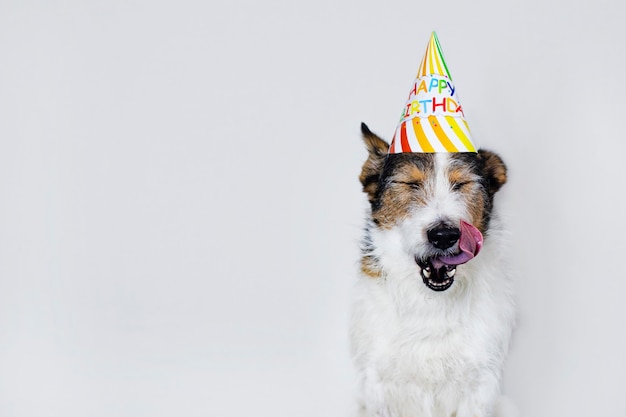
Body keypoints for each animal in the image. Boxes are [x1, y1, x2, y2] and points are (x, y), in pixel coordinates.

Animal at [348, 122, 516, 416]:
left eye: (461, 184)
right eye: (411, 184)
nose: (444, 236)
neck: (431, 305)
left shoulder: (479, 385)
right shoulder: (379, 387)